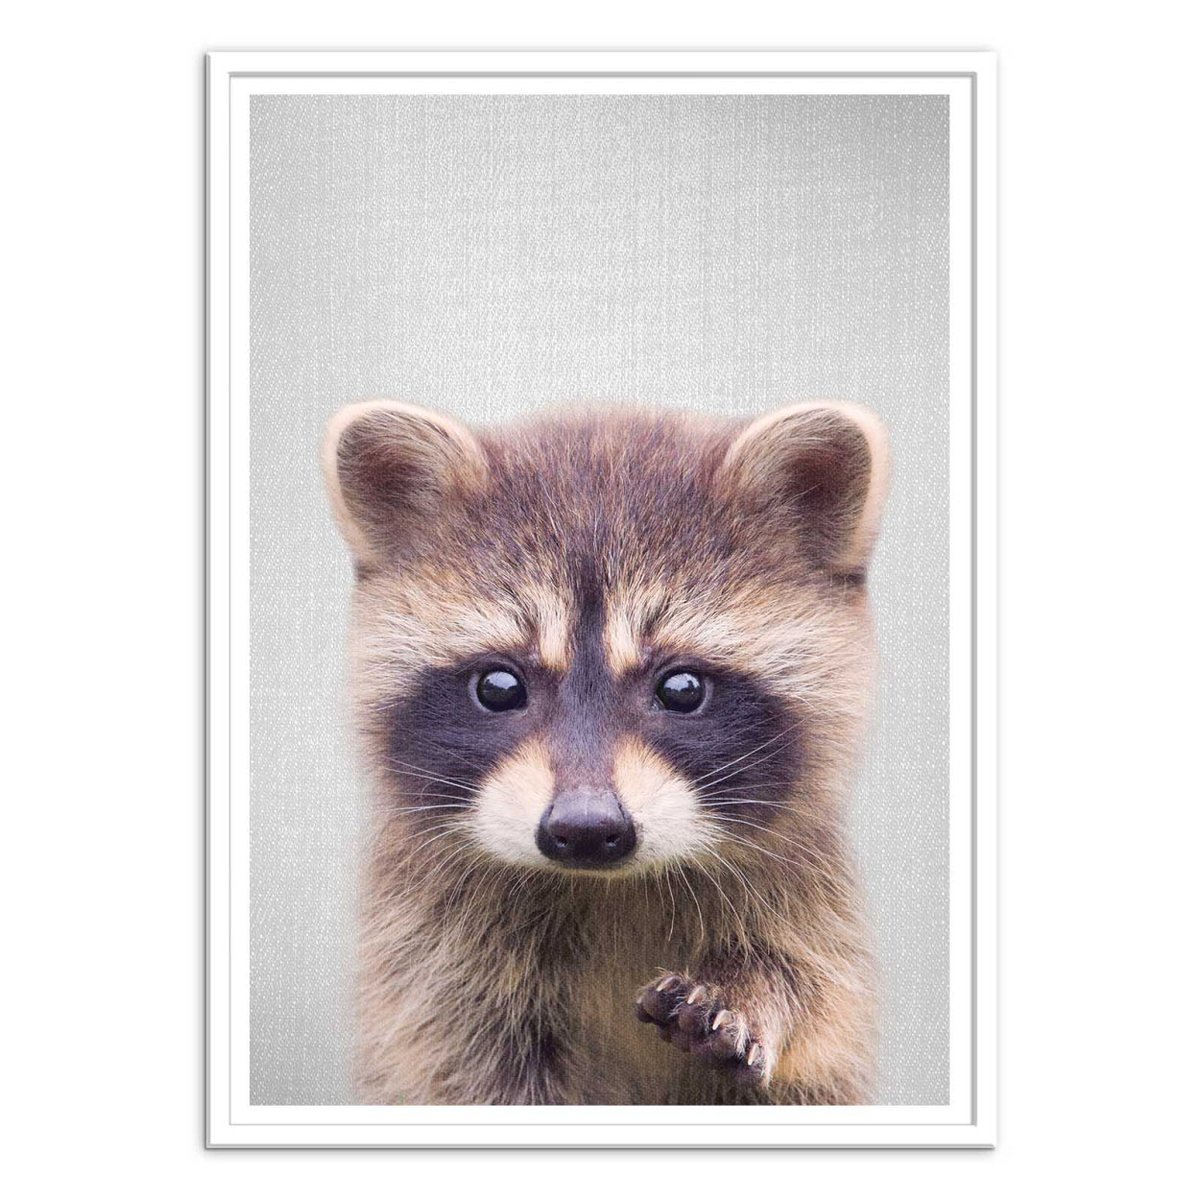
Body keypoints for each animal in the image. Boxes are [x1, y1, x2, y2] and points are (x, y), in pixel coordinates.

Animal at [322, 398, 888, 1105]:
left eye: (682, 688)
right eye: (499, 686)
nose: (586, 829)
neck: (606, 887)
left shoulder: (809, 899)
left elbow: (816, 991)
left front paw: (755, 992)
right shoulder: (430, 957)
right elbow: (459, 1064)